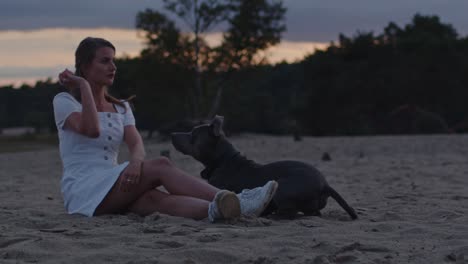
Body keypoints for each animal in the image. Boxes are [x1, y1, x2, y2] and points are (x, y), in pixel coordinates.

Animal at [172, 116, 358, 220]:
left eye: (193, 134)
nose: (172, 134)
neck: (222, 160)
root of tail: (325, 184)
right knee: (312, 213)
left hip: (283, 188)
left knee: (291, 212)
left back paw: (274, 216)